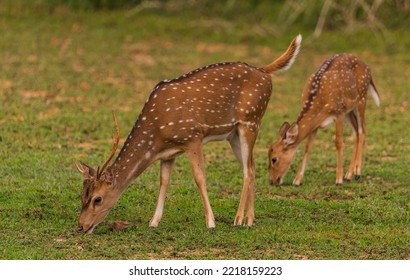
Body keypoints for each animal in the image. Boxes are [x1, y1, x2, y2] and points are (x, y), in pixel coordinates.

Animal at [76, 34, 302, 233]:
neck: (157, 133)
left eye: (97, 198)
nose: (81, 226)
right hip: (234, 134)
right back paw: (249, 219)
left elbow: (199, 177)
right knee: (252, 167)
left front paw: (211, 222)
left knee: (247, 170)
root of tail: (265, 71)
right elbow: (164, 181)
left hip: (251, 121)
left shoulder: (192, 137)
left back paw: (238, 219)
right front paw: (154, 221)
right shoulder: (168, 153)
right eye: (81, 195)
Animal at [268, 53, 380, 187]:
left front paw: (338, 179)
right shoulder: (316, 124)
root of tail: (368, 67)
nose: (272, 181)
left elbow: (338, 142)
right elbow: (308, 147)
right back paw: (348, 175)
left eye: (274, 159)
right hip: (349, 110)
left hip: (361, 99)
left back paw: (357, 173)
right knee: (356, 132)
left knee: (362, 129)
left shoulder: (339, 113)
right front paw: (297, 180)